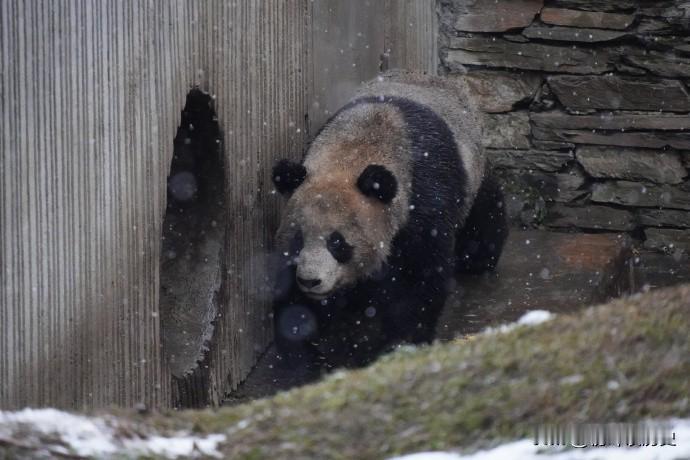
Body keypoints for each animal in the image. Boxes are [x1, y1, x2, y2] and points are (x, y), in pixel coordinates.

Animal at [268, 69, 506, 370]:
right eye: (299, 239)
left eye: (337, 243)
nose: (311, 281)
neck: (352, 153)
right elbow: (291, 295)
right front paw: (306, 356)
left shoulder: (422, 200)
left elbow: (417, 281)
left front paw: (400, 345)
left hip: (474, 177)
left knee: (484, 218)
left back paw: (478, 262)